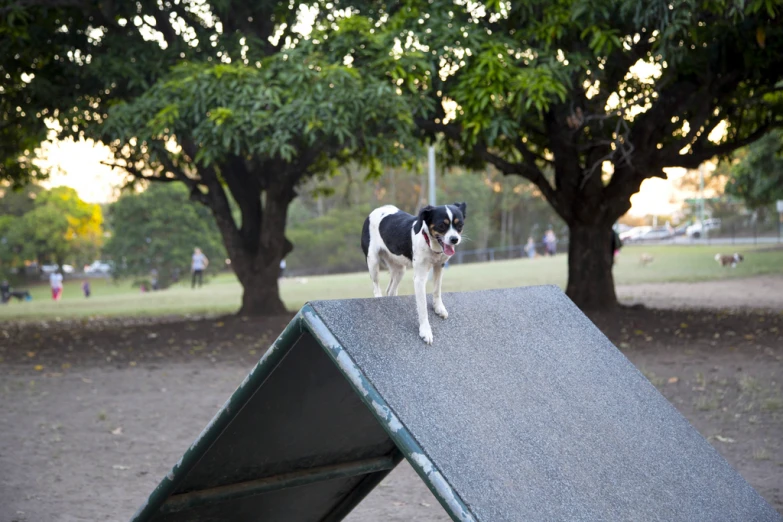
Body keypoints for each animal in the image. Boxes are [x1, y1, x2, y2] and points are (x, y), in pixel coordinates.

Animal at [362, 201, 466, 344]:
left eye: (460, 225)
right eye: (441, 225)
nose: (455, 239)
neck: (430, 243)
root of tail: (376, 210)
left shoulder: (439, 267)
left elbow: (437, 290)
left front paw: (438, 308)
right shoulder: (419, 279)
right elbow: (422, 307)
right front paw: (425, 331)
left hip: (400, 269)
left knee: (391, 291)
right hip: (373, 262)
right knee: (376, 287)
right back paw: (378, 297)